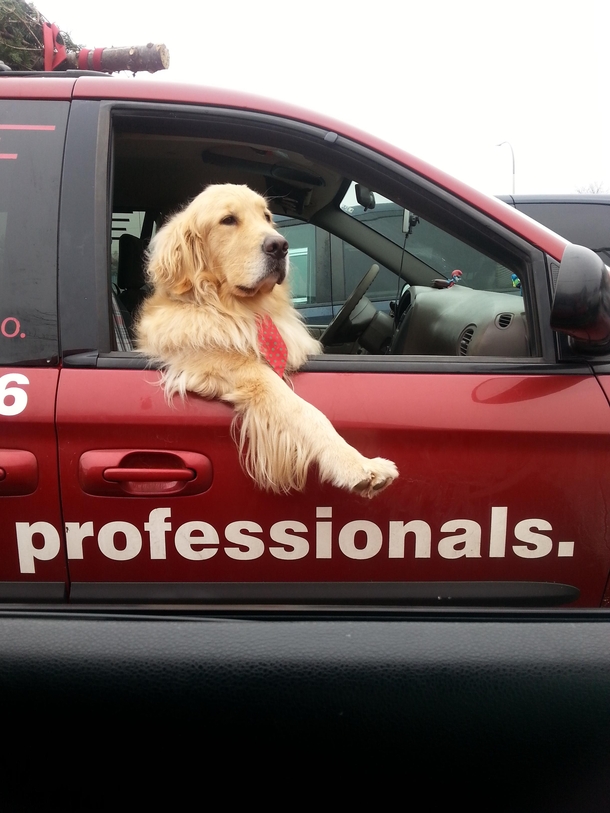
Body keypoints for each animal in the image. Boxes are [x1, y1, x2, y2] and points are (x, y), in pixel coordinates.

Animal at [135, 185, 396, 498]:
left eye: (267, 217)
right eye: (228, 220)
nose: (280, 246)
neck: (244, 309)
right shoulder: (228, 365)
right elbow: (304, 410)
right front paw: (358, 464)